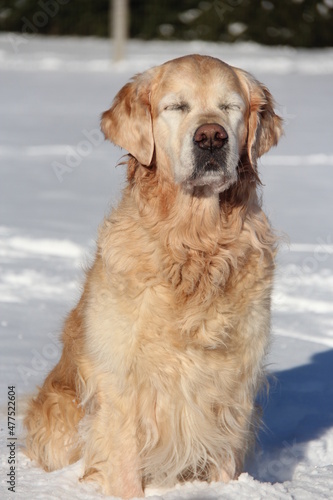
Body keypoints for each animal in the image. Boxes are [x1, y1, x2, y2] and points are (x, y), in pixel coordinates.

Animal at [24, 54, 282, 496]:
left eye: (230, 107)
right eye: (176, 107)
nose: (211, 138)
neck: (194, 244)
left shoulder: (233, 384)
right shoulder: (122, 383)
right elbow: (124, 461)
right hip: (58, 409)